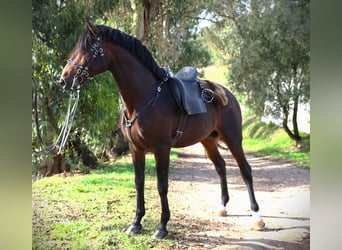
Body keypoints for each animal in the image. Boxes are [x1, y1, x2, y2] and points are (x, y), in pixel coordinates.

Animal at [60, 20, 264, 238]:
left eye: (87, 49)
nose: (64, 80)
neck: (143, 98)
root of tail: (228, 95)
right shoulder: (136, 149)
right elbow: (139, 182)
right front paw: (136, 223)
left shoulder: (161, 149)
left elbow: (162, 185)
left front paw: (162, 227)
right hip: (208, 140)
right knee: (221, 166)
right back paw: (222, 207)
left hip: (233, 138)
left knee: (245, 170)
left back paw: (257, 217)